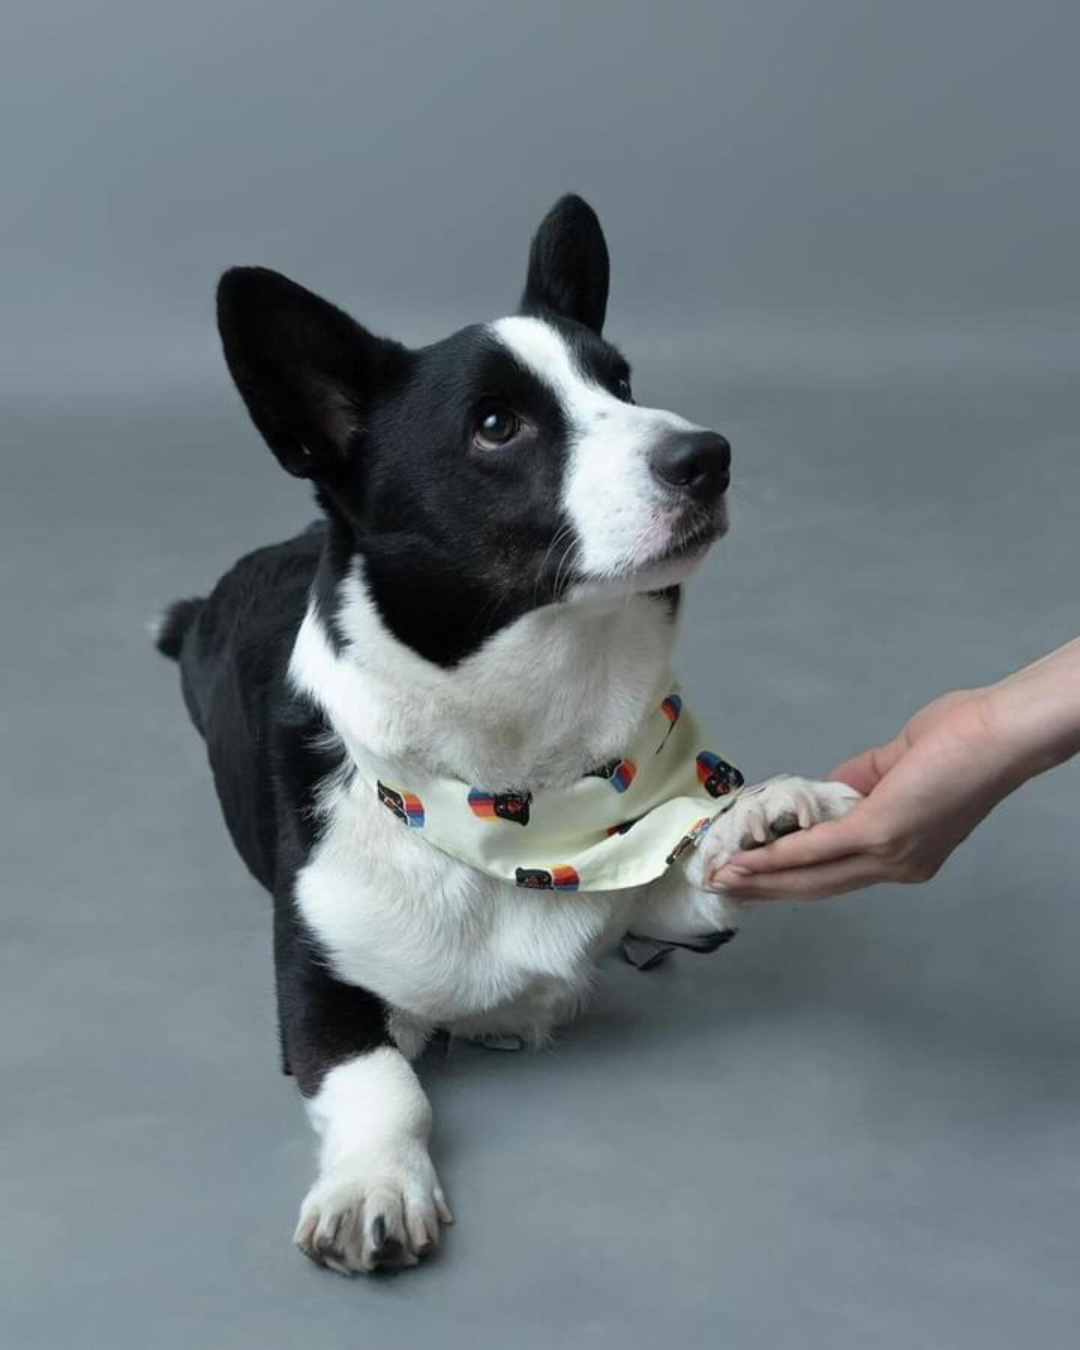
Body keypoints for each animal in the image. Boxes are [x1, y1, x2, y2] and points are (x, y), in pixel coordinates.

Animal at [155, 195, 858, 1269]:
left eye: (622, 381)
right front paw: (373, 1186)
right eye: (496, 425)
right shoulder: (319, 991)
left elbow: (695, 867)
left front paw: (763, 810)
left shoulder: (662, 898)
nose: (709, 455)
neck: (522, 781)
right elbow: (382, 1084)